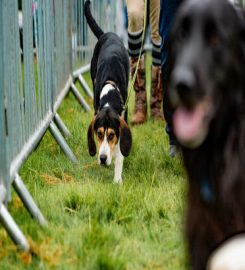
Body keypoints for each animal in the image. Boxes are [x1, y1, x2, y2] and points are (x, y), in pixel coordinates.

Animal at [84, 0, 132, 184]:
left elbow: (120, 153)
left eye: (111, 135)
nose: (103, 159)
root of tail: (108, 34)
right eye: (98, 134)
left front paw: (117, 179)